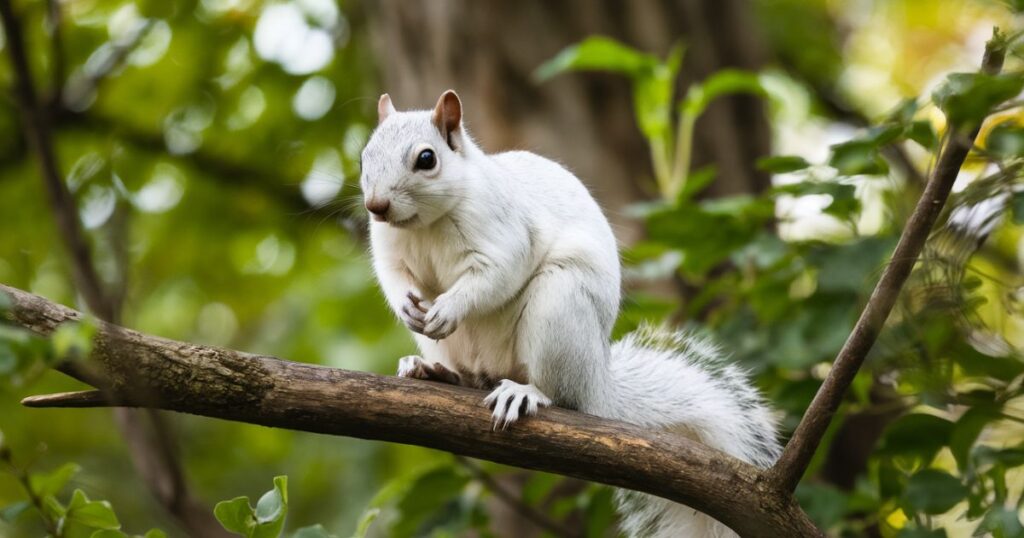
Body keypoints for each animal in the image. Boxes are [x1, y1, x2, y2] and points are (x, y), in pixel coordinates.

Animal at [364, 90, 778, 532]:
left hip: (559, 306)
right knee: (469, 377)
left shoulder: (504, 231)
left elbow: (496, 274)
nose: (375, 206)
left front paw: (450, 307)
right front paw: (407, 306)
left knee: (561, 395)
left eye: (427, 159)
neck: (425, 225)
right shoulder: (389, 250)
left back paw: (527, 392)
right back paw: (433, 370)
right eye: (365, 155)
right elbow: (393, 277)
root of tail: (596, 382)